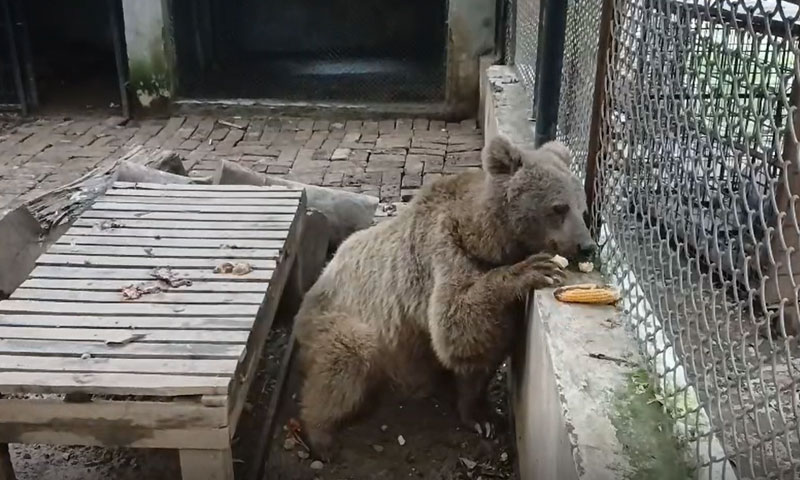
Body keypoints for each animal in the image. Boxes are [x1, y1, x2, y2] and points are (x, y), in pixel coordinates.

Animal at [293, 135, 596, 458]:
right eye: (559, 207)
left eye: (583, 209)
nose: (587, 246)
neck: (485, 238)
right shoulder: (441, 254)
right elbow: (455, 322)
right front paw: (535, 268)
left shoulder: (500, 307)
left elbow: (482, 350)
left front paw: (482, 416)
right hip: (338, 317)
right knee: (343, 362)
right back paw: (321, 437)